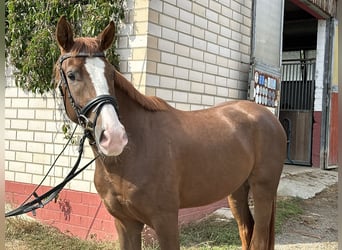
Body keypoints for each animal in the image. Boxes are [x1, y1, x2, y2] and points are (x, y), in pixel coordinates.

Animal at [55, 16, 286, 249]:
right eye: (72, 75)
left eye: (111, 75)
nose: (114, 137)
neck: (132, 153)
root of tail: (270, 118)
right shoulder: (125, 222)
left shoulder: (165, 220)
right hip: (237, 190)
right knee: (246, 230)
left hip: (263, 190)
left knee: (258, 238)